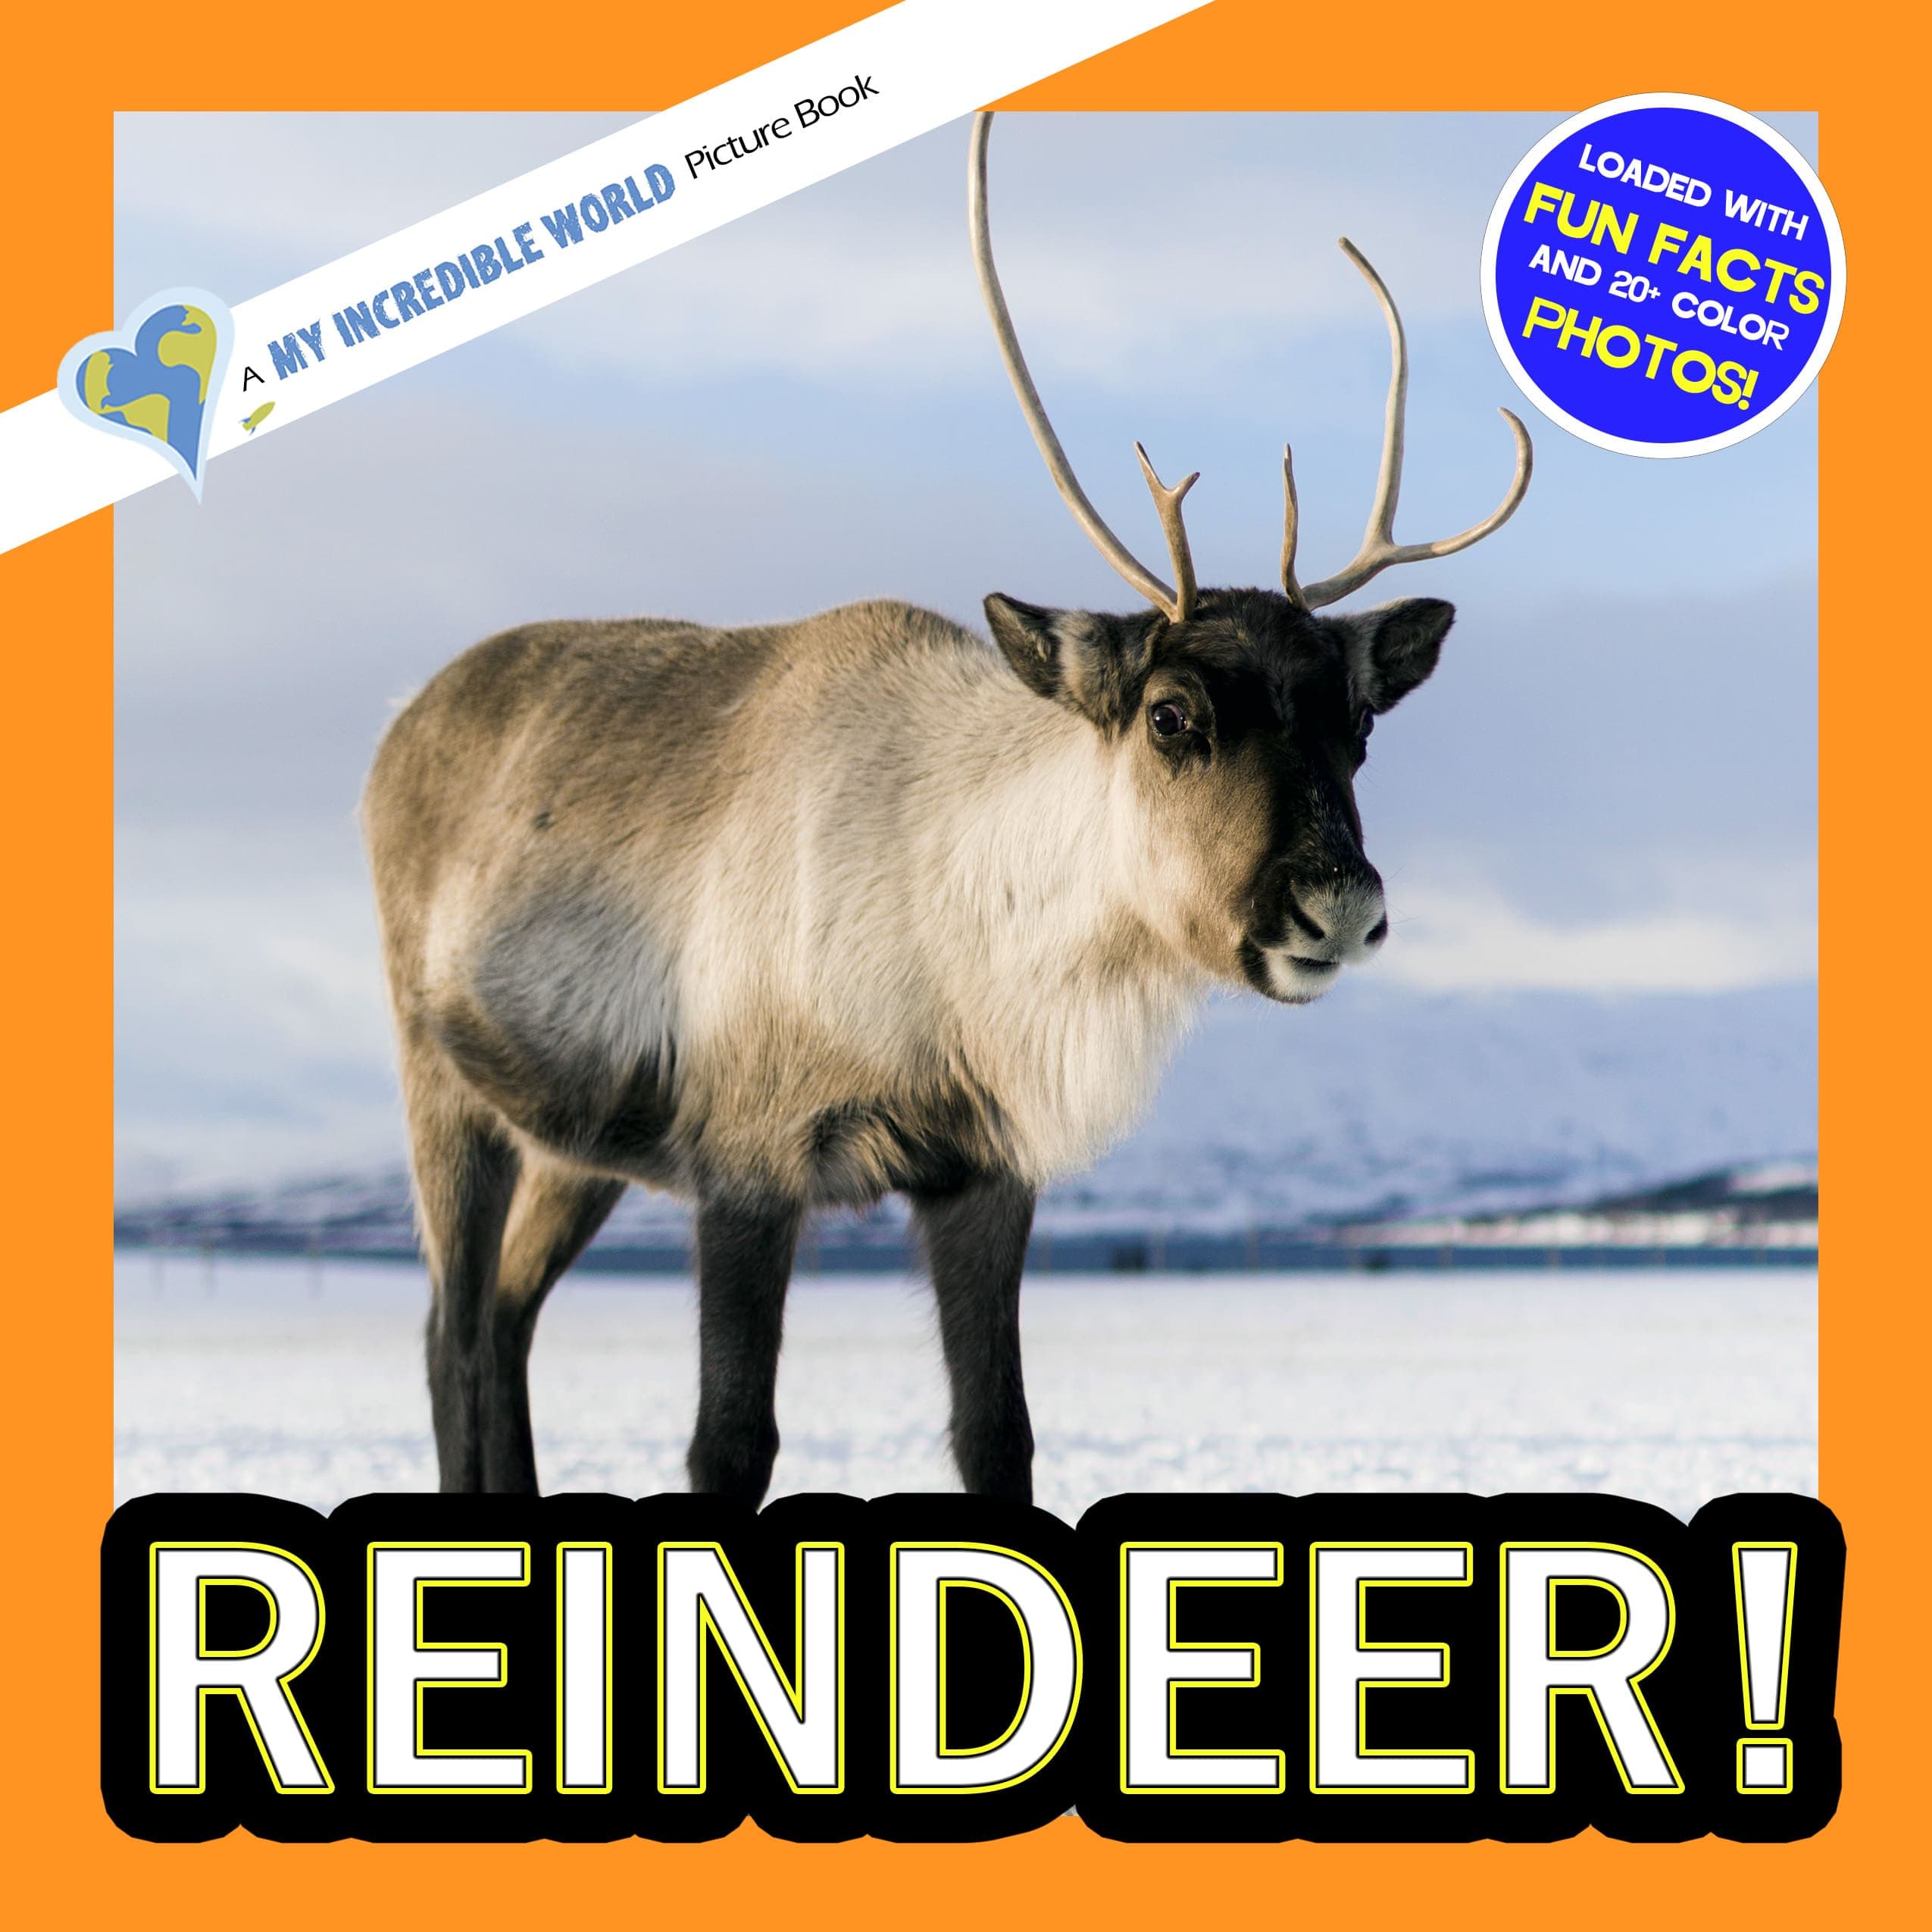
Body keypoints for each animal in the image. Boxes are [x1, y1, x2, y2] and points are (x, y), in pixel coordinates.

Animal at [362, 113, 1532, 1505]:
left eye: (1356, 723)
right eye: (1171, 714)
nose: (1335, 902)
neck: (961, 948)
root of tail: (397, 727)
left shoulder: (984, 1175)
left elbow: (997, 1432)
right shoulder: (746, 1158)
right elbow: (727, 1441)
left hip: (575, 1146)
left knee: (503, 1319)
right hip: (443, 1084)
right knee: (450, 1334)